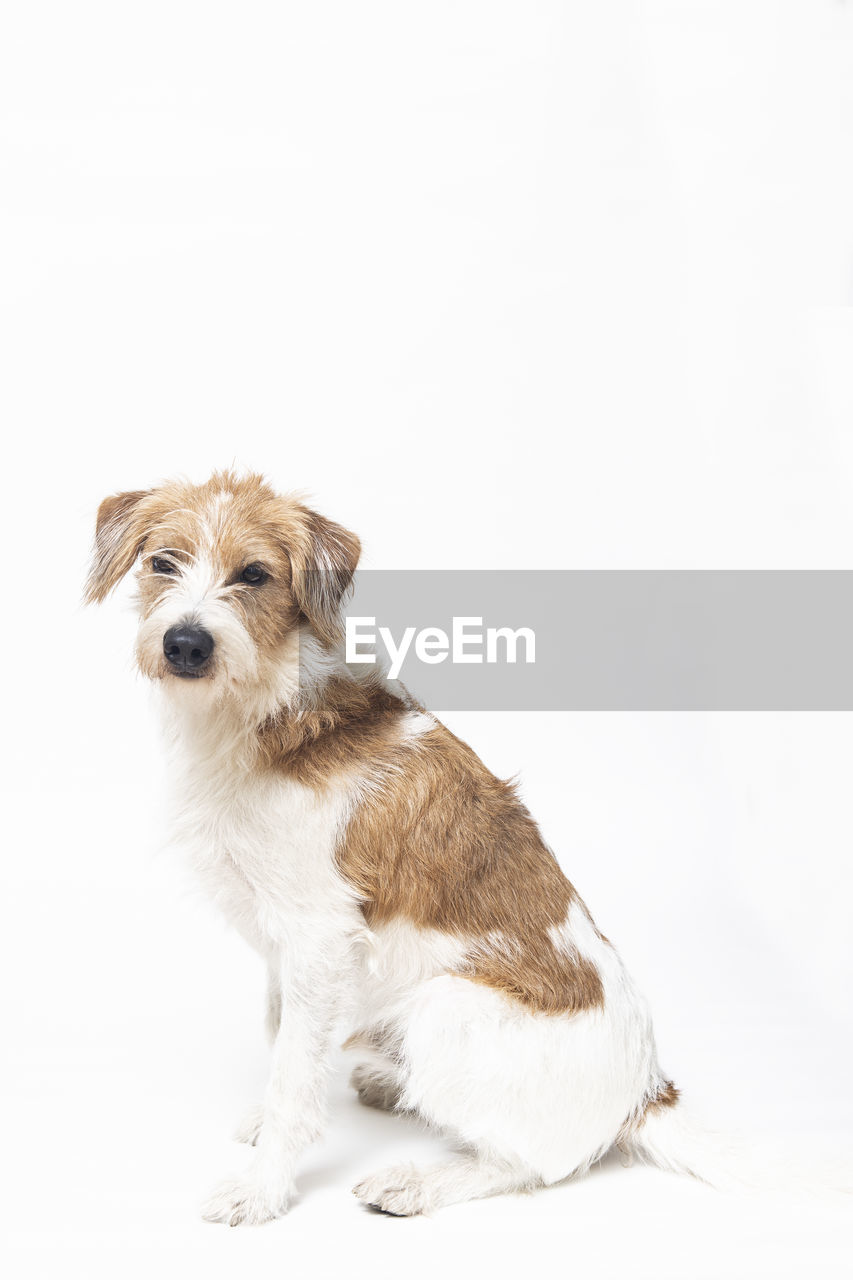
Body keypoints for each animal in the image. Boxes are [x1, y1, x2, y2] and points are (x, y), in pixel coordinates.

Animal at [87, 468, 712, 1218]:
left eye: (255, 574)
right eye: (163, 562)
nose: (185, 643)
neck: (270, 715)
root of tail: (644, 1095)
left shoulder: (319, 939)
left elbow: (294, 1070)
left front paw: (265, 1186)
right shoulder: (286, 951)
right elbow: (283, 1037)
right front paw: (268, 1127)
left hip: (446, 1009)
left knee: (530, 1165)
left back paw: (415, 1179)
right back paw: (393, 1085)